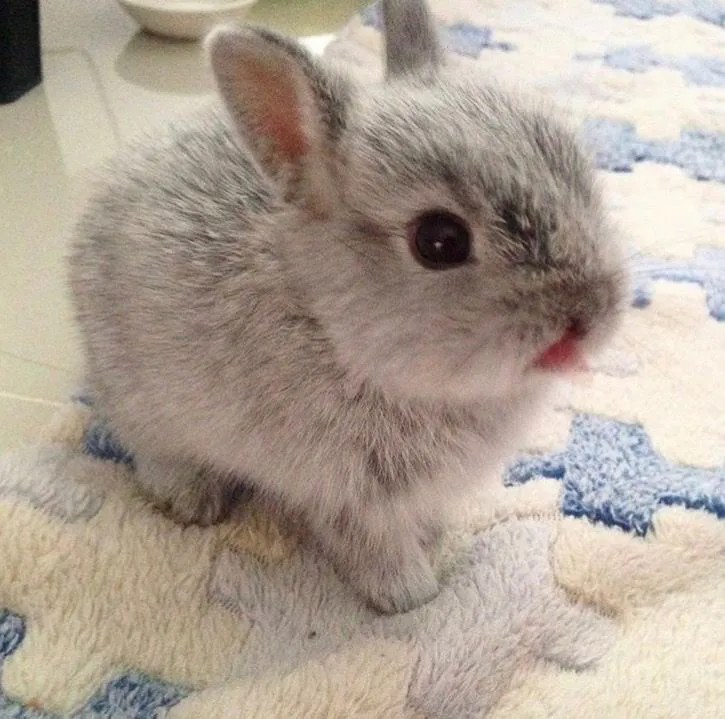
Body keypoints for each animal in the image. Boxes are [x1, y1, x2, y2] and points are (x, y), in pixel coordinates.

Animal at [68, 0, 627, 614]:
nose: (590, 314)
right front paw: (413, 595)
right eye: (439, 242)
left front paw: (432, 541)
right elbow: (370, 547)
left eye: (579, 175)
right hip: (141, 403)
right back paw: (192, 499)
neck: (330, 325)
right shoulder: (349, 493)